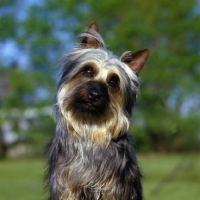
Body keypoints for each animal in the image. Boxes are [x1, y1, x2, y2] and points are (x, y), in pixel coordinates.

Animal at [46, 22, 148, 200]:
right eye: (88, 70)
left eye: (113, 81)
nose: (94, 95)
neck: (90, 128)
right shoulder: (66, 186)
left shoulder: (114, 188)